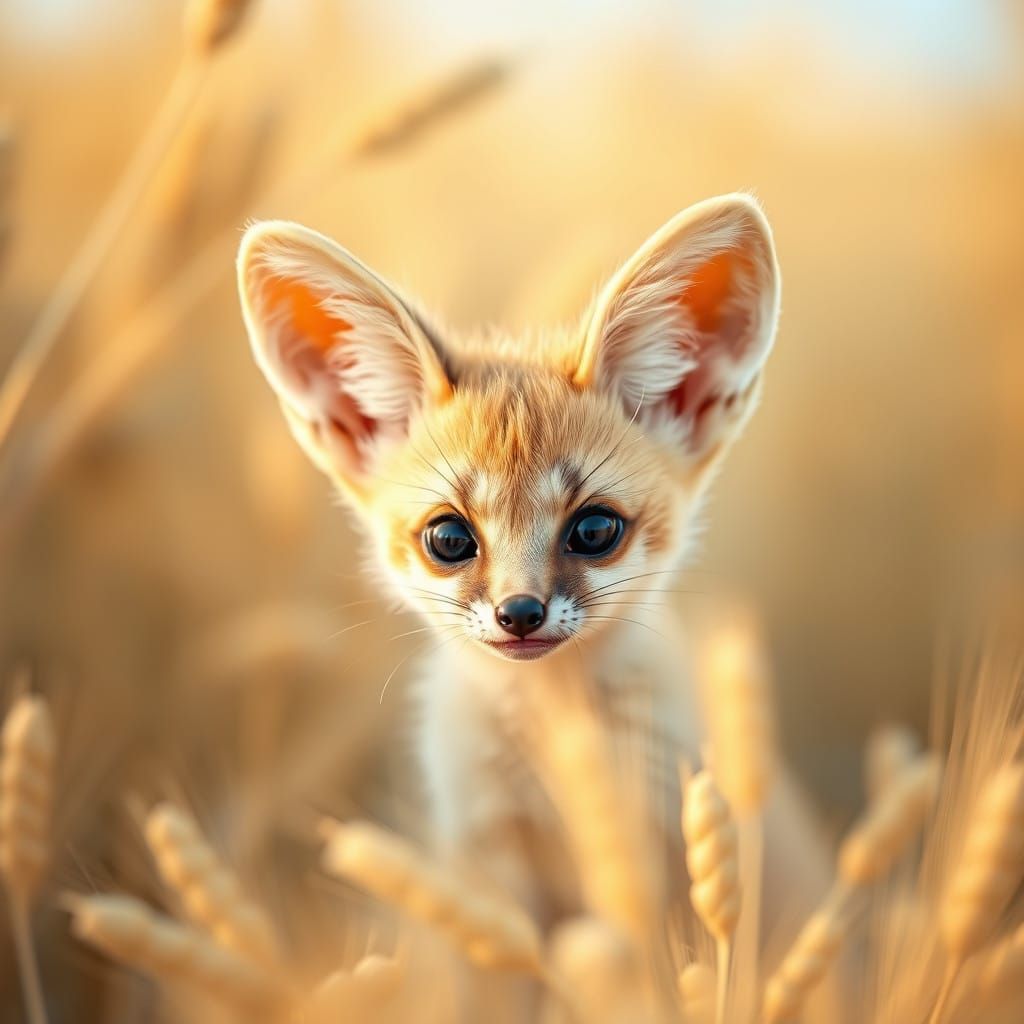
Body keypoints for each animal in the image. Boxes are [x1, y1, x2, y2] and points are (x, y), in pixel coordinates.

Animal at [235, 194, 830, 982]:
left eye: (595, 529)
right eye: (449, 539)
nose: (519, 612)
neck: (551, 762)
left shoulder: (655, 852)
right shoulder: (488, 862)